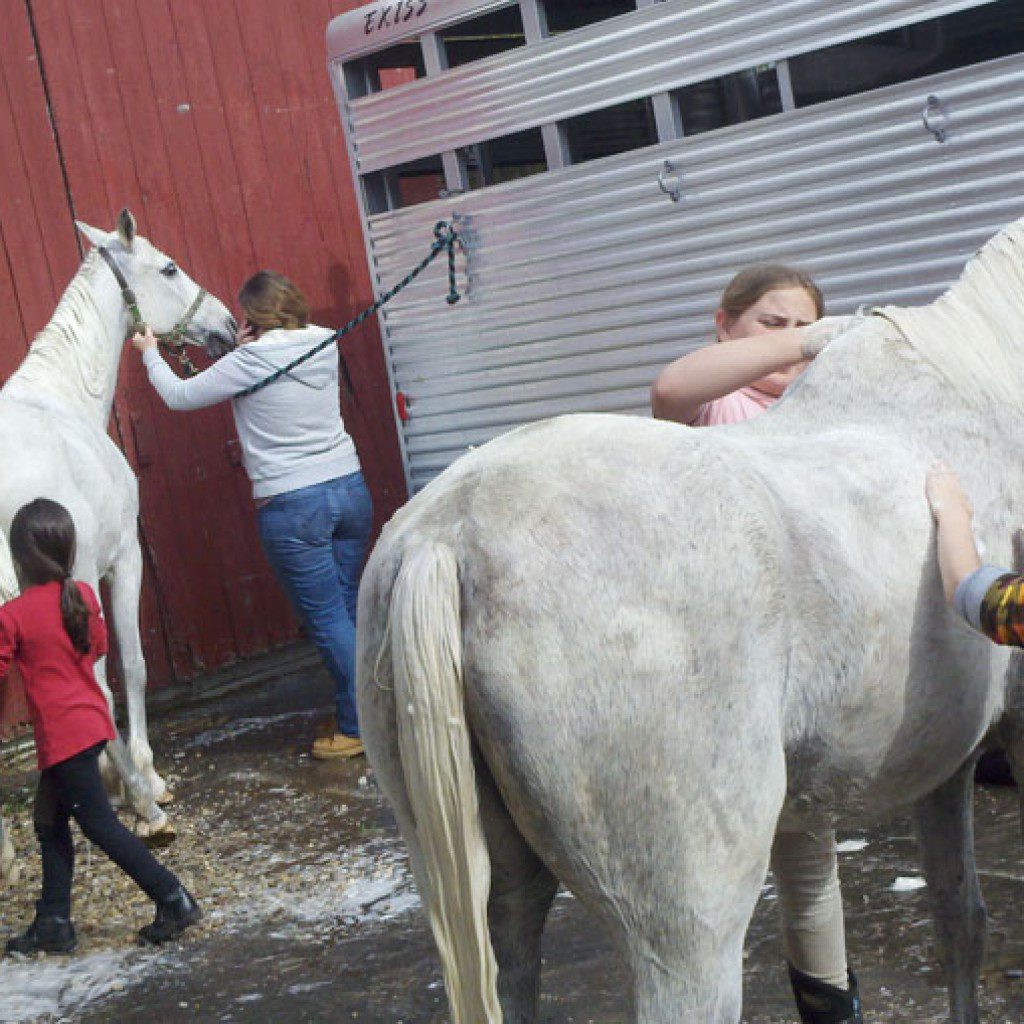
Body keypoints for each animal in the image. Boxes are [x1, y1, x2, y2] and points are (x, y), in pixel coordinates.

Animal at [0, 209, 235, 881]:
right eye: (170, 268)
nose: (225, 325)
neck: (61, 401)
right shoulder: (119, 560)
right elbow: (127, 667)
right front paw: (143, 780)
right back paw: (144, 806)